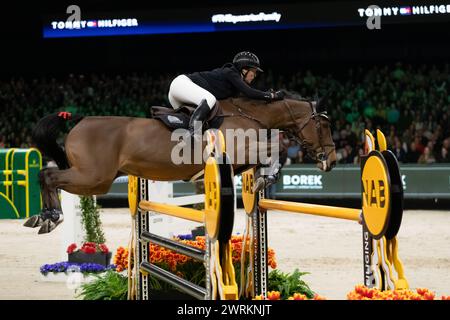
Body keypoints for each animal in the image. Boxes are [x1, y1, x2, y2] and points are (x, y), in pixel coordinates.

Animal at [22, 94, 336, 234]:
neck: (251, 114)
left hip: (93, 178)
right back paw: (50, 217)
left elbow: (268, 153)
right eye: (323, 125)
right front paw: (267, 175)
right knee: (48, 177)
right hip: (94, 178)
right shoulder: (238, 151)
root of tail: (79, 120)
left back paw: (43, 216)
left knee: (46, 174)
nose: (331, 161)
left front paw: (262, 177)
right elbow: (275, 149)